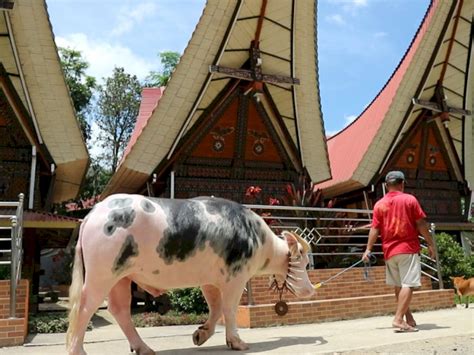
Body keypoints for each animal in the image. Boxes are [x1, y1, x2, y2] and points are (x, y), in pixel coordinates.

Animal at [65, 196, 312, 354]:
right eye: (304, 261)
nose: (310, 290)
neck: (260, 243)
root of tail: (92, 215)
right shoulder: (236, 275)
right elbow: (229, 309)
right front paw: (240, 345)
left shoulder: (210, 280)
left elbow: (215, 308)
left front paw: (198, 337)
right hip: (102, 272)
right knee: (85, 307)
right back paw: (79, 352)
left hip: (121, 276)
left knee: (119, 309)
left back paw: (146, 350)